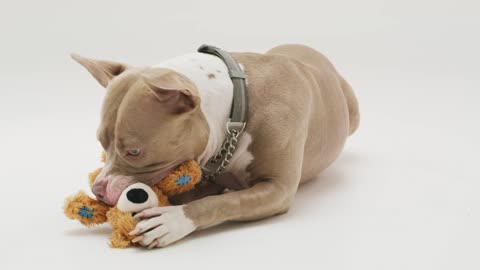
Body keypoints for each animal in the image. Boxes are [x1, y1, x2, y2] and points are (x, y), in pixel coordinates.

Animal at [72, 44, 360, 249]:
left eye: (134, 152)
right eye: (102, 143)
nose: (98, 190)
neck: (235, 108)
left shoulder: (278, 189)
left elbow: (224, 202)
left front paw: (171, 220)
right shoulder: (210, 175)